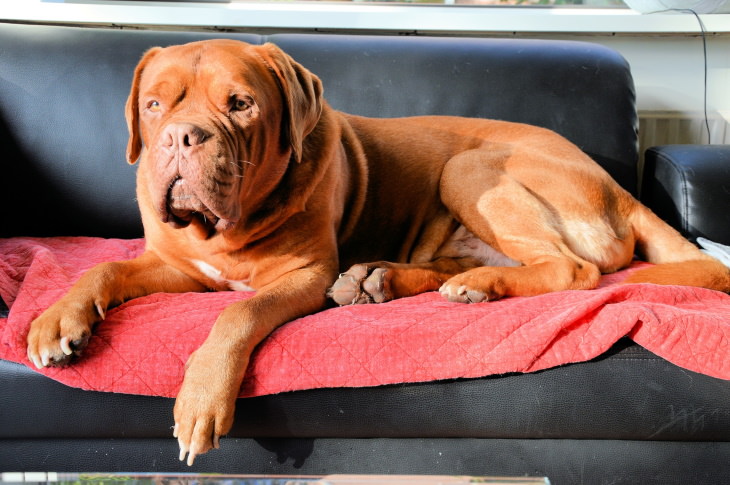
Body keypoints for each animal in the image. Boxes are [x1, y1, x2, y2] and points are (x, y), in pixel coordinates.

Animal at [25, 39, 724, 464]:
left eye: (241, 104)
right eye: (153, 104)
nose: (180, 138)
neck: (221, 232)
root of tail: (618, 189)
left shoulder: (304, 275)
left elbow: (238, 314)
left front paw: (201, 400)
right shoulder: (178, 266)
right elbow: (106, 266)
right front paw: (58, 321)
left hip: (472, 167)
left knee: (574, 268)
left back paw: (464, 286)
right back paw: (381, 280)